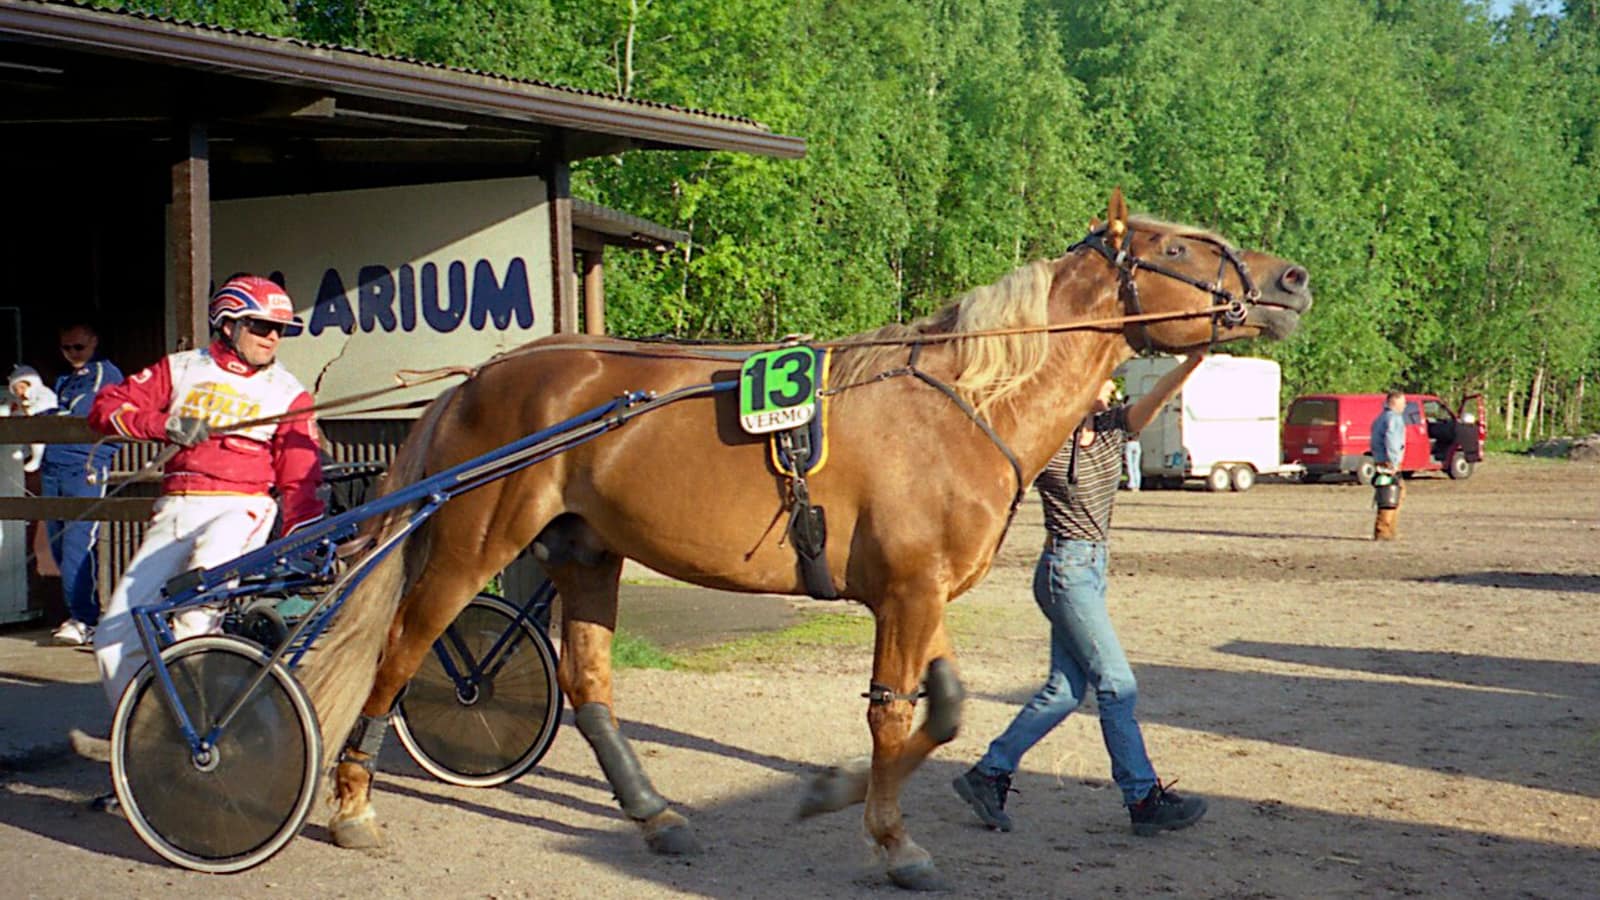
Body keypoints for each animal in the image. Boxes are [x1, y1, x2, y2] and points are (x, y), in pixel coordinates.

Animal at [299, 189, 1313, 889]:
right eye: (1177, 246)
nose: (1291, 280)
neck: (960, 403)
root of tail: (483, 376)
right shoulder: (906, 593)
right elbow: (896, 715)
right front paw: (891, 840)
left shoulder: (922, 592)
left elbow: (947, 710)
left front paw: (842, 792)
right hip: (470, 546)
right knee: (402, 652)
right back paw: (352, 806)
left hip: (585, 553)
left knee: (589, 691)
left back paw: (656, 815)